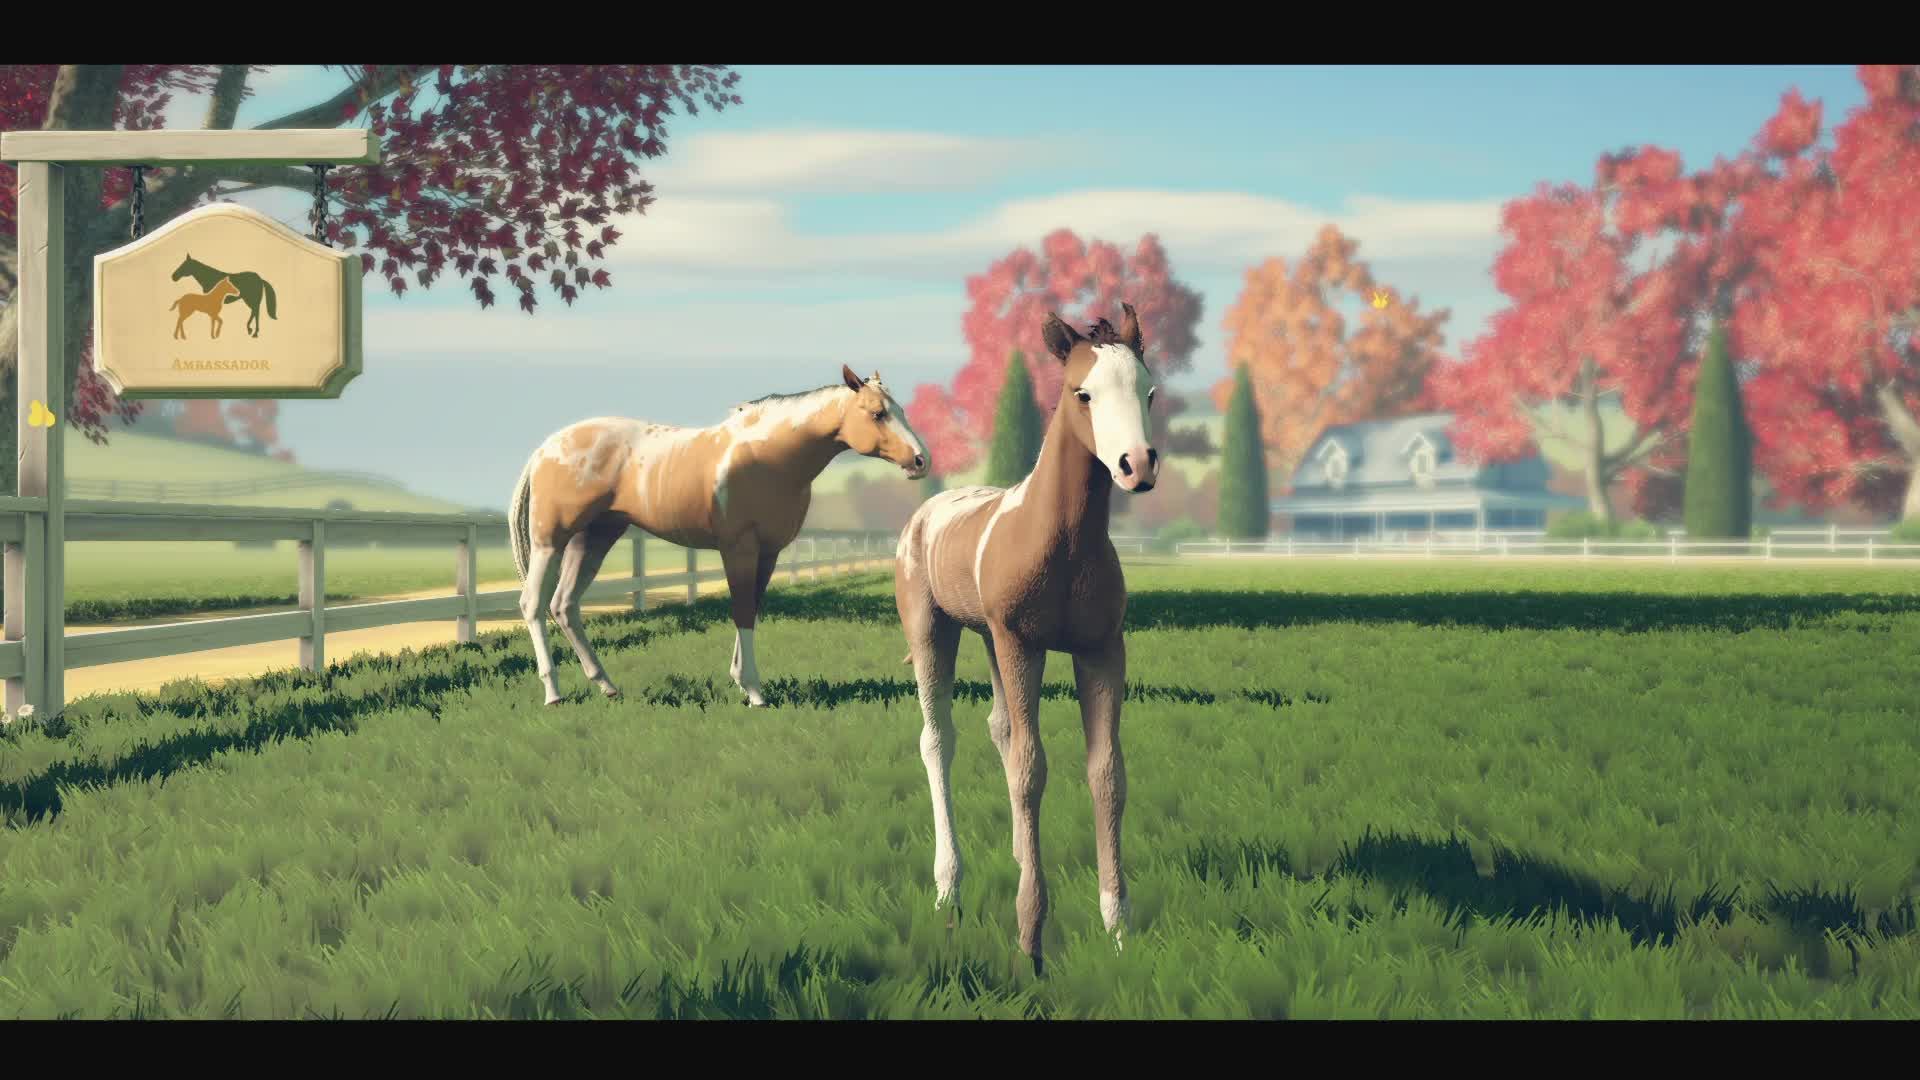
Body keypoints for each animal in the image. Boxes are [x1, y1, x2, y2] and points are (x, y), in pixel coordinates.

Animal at [509, 365, 930, 708]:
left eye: (901, 411)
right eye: (877, 413)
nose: (920, 460)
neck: (768, 458)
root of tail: (546, 447)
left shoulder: (768, 553)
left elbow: (752, 609)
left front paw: (742, 681)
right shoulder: (739, 548)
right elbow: (741, 610)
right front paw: (755, 691)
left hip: (595, 538)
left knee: (565, 605)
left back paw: (606, 686)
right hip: (551, 541)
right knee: (533, 603)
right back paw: (553, 693)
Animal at [894, 303, 1160, 977]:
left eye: (1149, 391)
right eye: (1082, 393)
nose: (1138, 466)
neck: (1061, 542)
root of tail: (927, 511)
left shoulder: (1102, 650)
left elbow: (1106, 774)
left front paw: (1118, 929)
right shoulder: (1024, 646)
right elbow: (1032, 770)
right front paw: (1032, 940)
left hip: (992, 640)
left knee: (999, 729)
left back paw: (1013, 857)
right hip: (935, 631)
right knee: (939, 740)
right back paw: (949, 888)